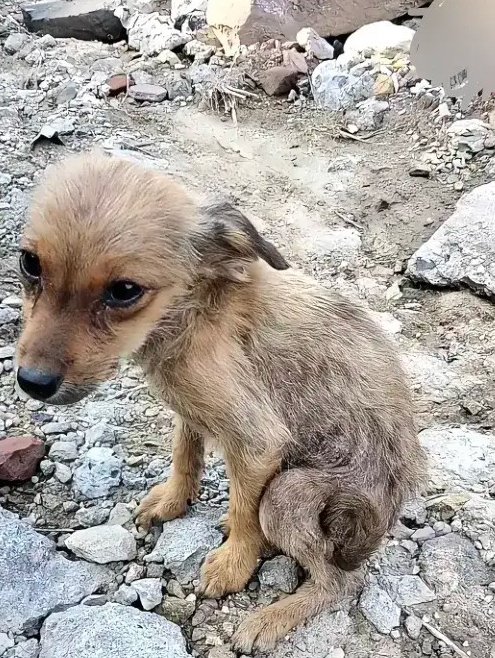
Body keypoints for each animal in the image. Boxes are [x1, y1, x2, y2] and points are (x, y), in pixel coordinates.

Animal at [15, 150, 426, 652]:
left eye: (125, 291)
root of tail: (390, 508)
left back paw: (270, 618)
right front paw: (174, 501)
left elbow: (245, 511)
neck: (196, 310)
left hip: (289, 494)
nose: (32, 383)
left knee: (340, 581)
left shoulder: (257, 442)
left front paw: (234, 564)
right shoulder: (190, 408)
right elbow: (184, 454)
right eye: (29, 263)